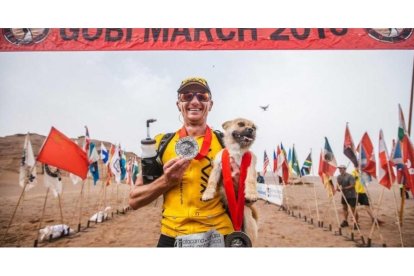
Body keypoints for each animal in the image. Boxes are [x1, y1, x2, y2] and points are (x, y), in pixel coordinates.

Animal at [201, 117, 258, 245]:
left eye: (254, 127)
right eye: (241, 124)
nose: (251, 130)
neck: (237, 151)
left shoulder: (250, 168)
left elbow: (250, 181)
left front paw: (251, 193)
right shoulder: (217, 167)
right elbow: (211, 182)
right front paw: (207, 193)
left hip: (247, 217)